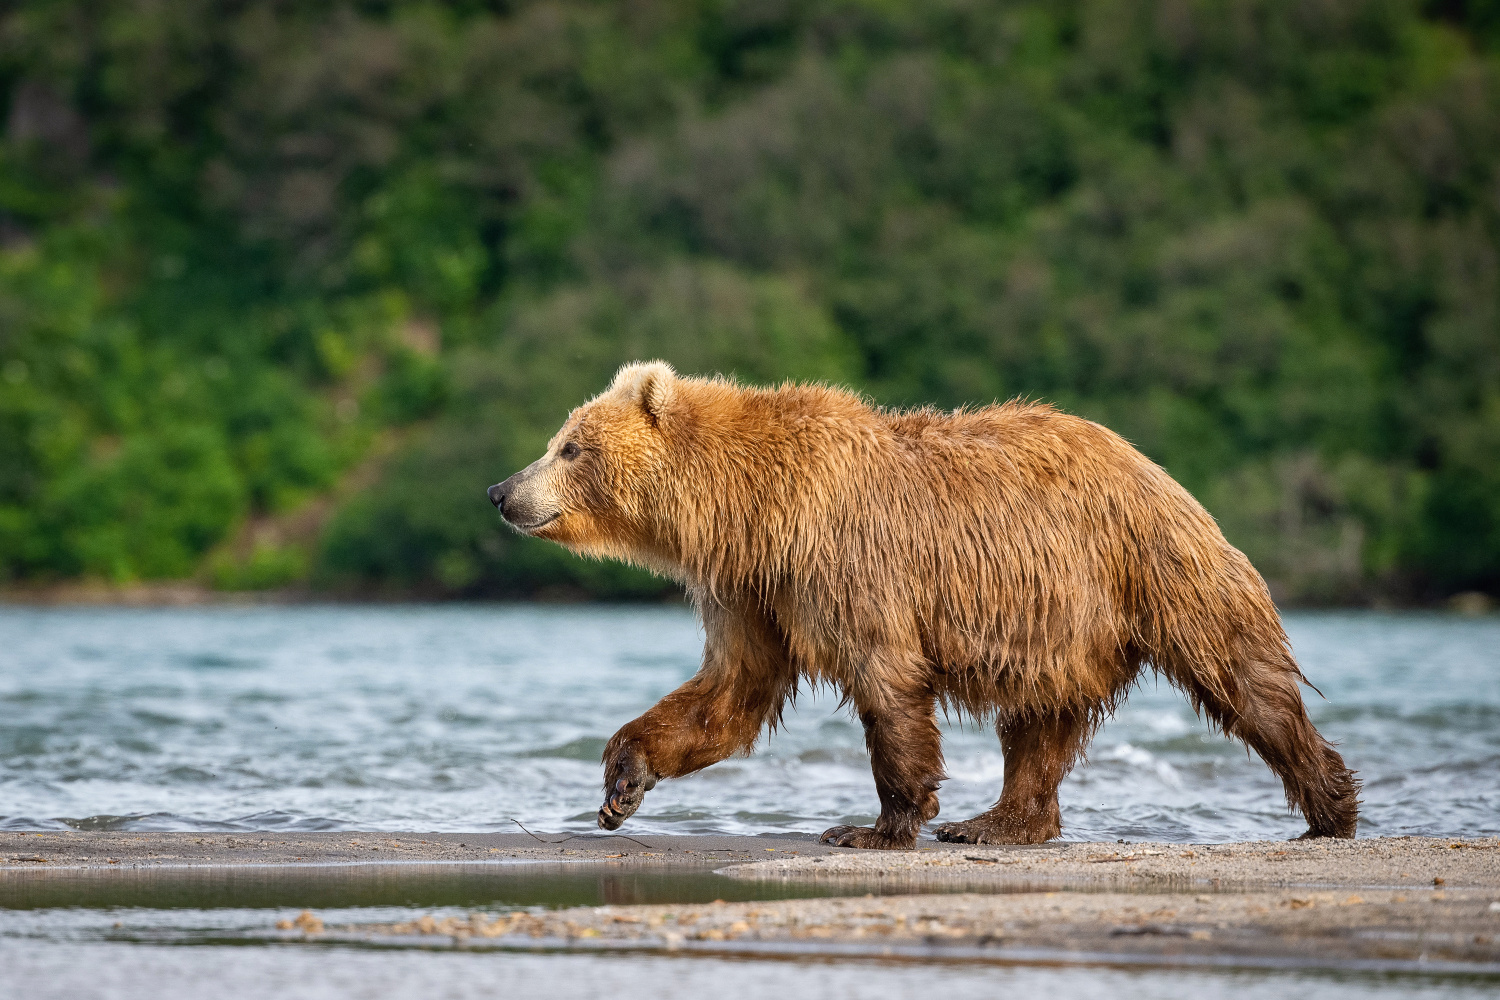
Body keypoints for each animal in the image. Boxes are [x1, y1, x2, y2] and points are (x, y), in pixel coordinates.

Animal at [486, 364, 1356, 851]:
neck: (749, 510)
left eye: (568, 446)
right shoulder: (755, 591)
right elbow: (730, 693)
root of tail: (1154, 466)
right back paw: (1001, 820)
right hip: (1055, 618)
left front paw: (875, 825)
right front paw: (623, 780)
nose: (500, 490)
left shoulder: (845, 559)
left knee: (1245, 676)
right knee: (1039, 722)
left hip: (1152, 566)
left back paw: (1330, 806)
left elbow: (886, 682)